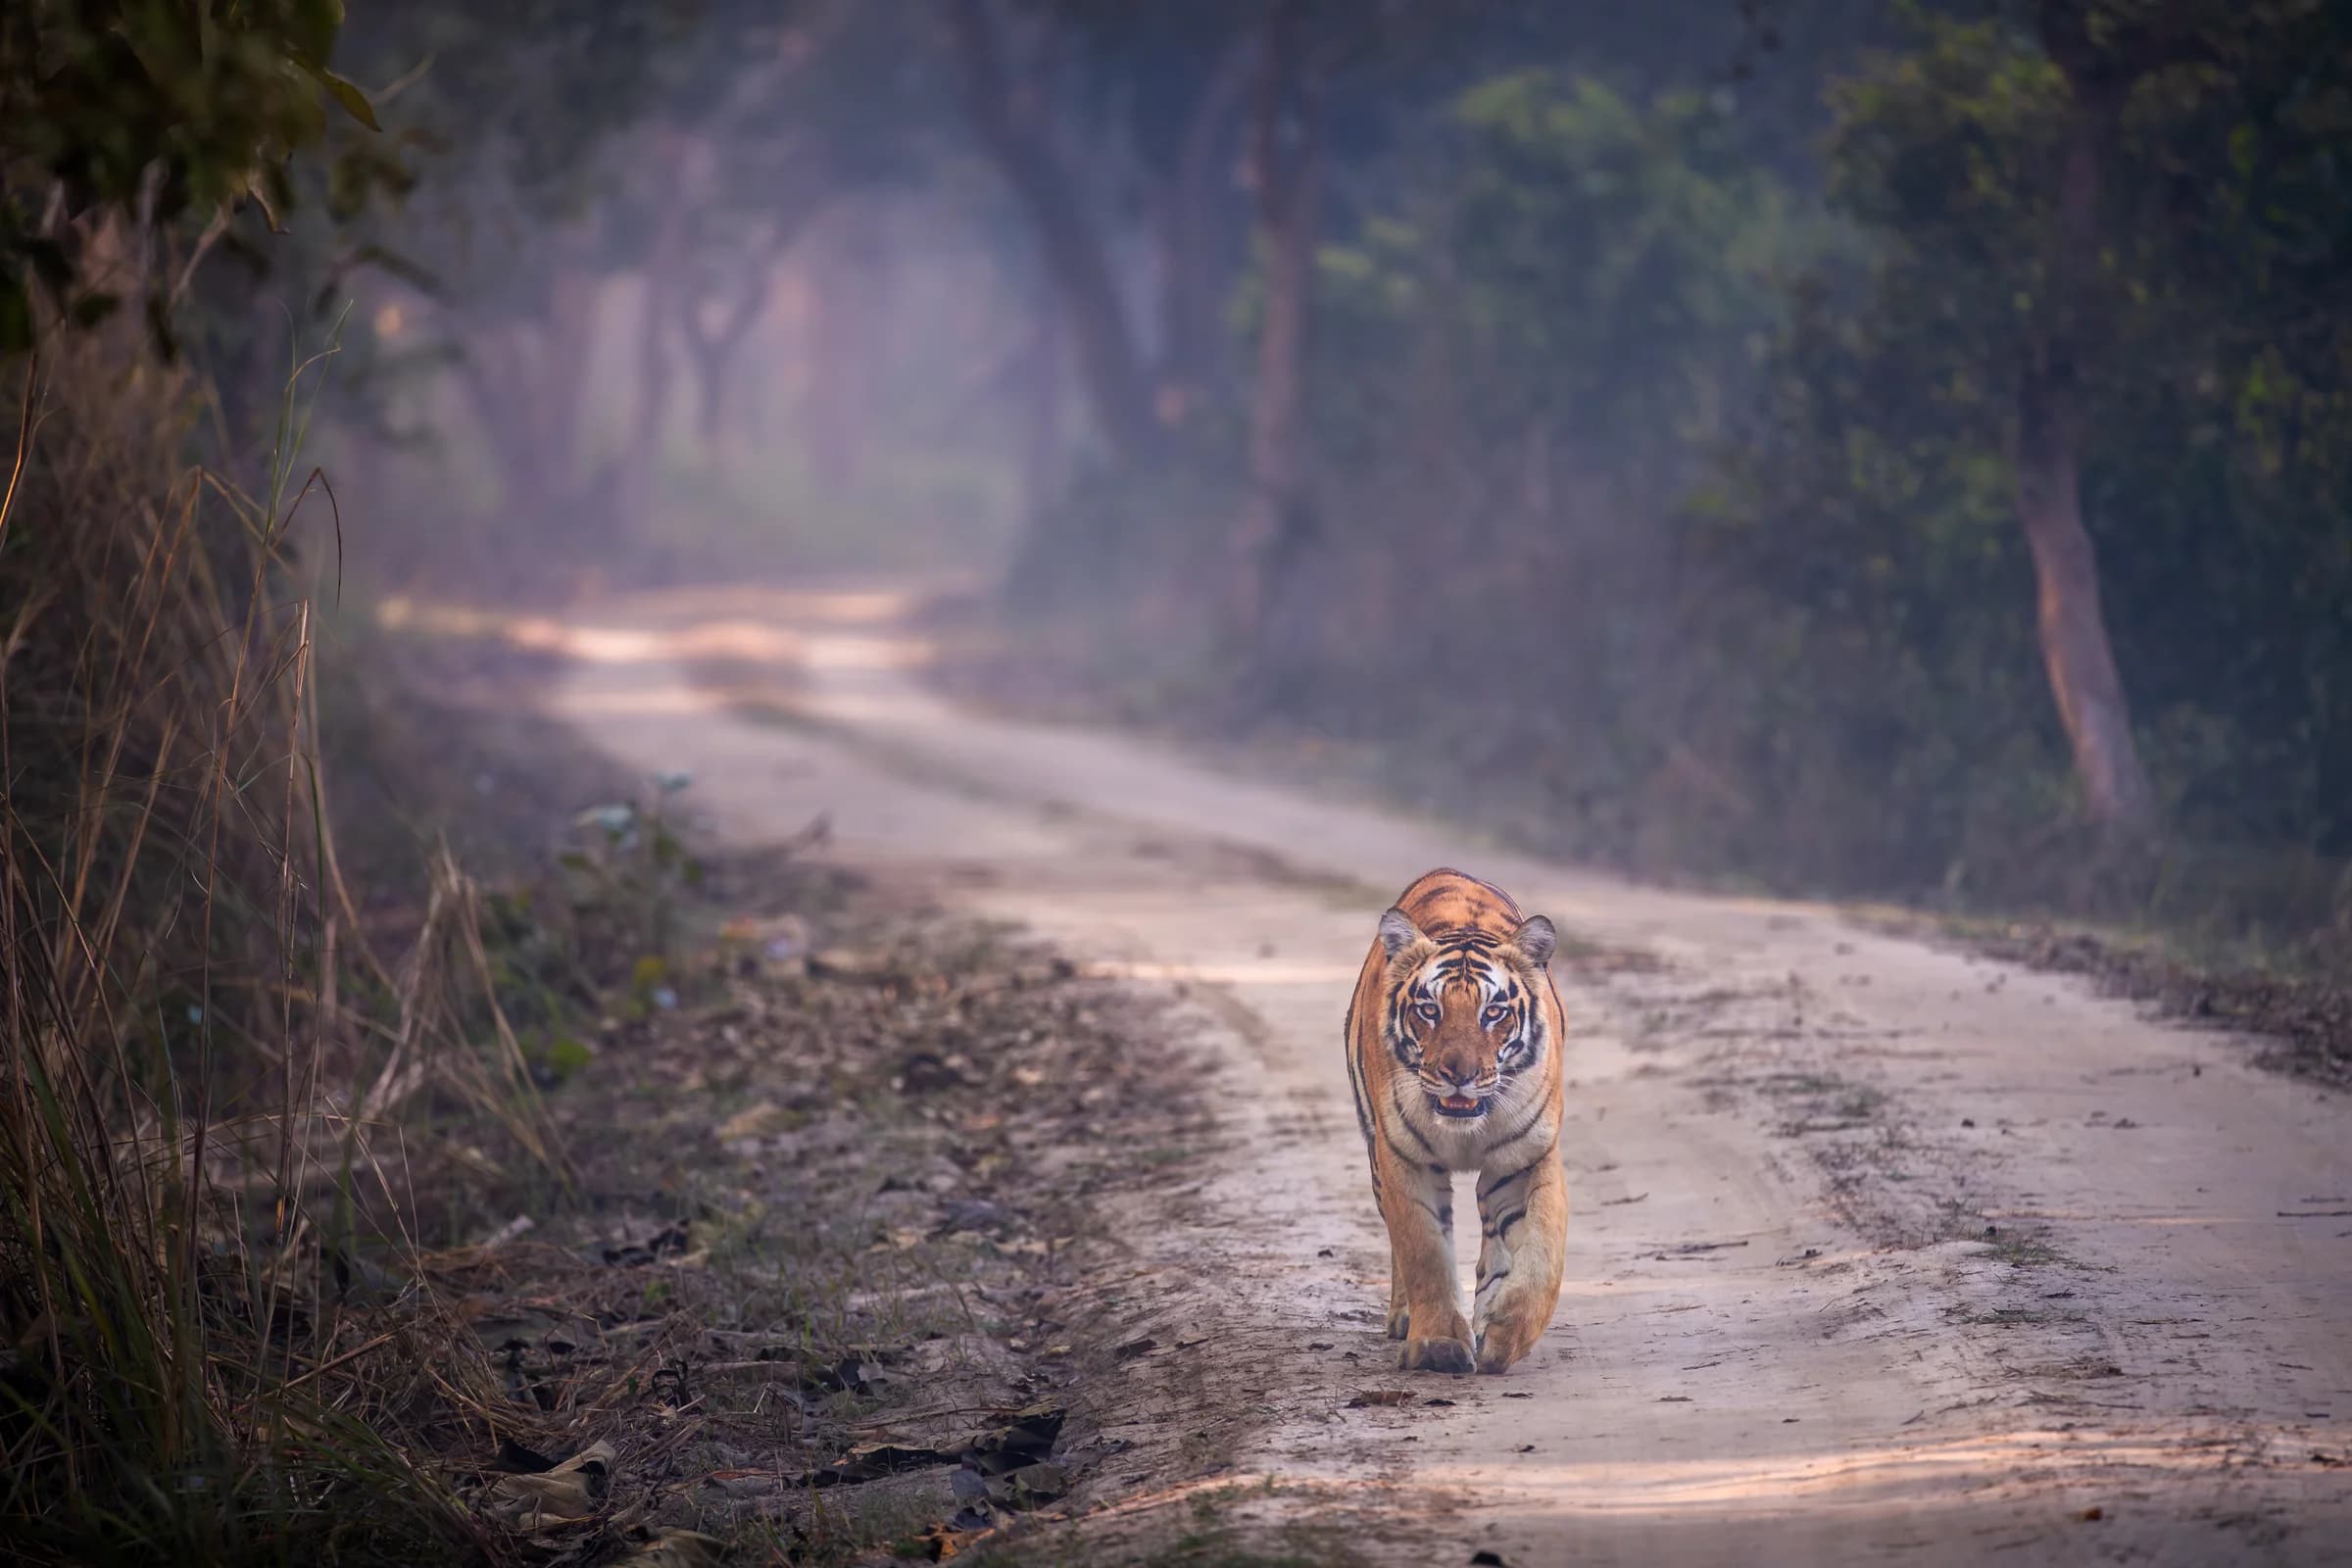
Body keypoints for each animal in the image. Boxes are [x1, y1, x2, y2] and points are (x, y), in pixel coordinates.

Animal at [1343, 868, 1568, 1374]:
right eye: (1430, 1010)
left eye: (1493, 1012)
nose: (1459, 1074)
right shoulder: (1403, 1159)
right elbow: (1424, 1252)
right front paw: (1438, 1347)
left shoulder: (1526, 1158)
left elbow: (1542, 1254)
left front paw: (1504, 1334)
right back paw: (1406, 1317)